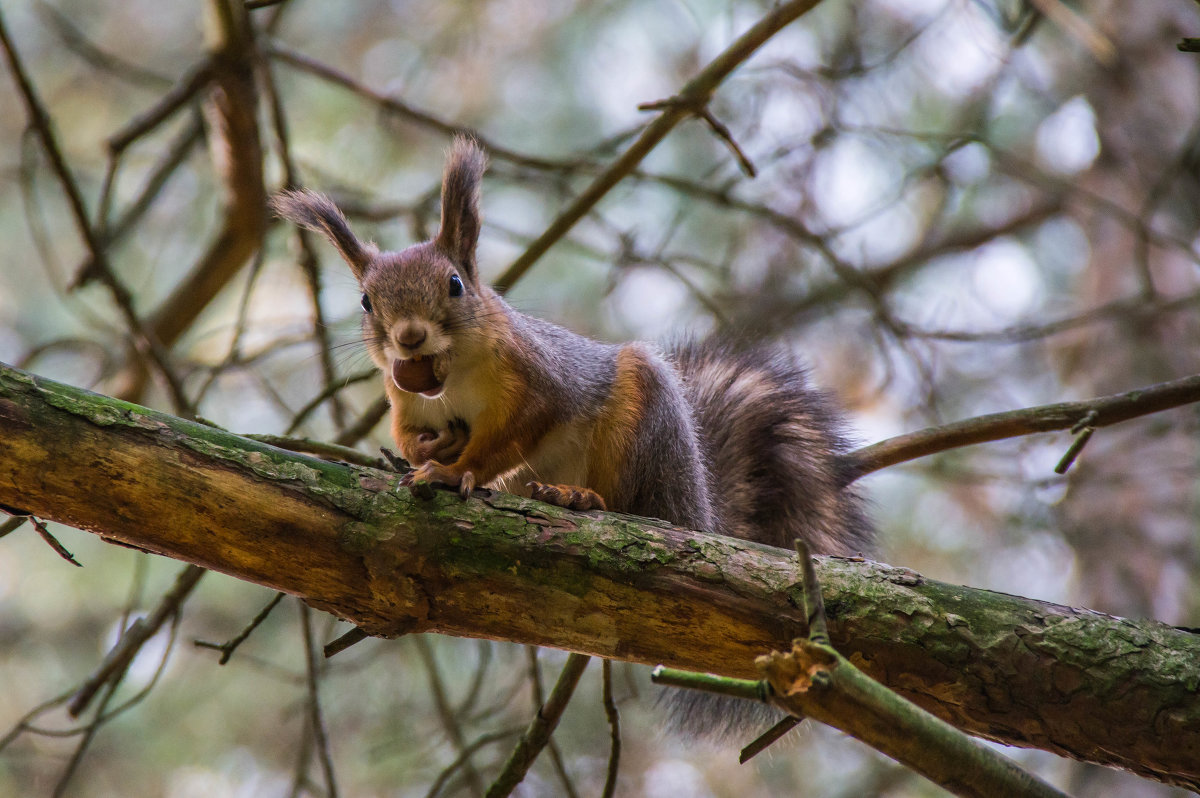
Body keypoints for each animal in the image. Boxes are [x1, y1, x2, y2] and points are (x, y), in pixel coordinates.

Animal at [272, 133, 873, 739]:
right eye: (366, 301)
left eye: (455, 284)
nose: (410, 336)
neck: (452, 378)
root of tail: (696, 508)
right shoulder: (404, 400)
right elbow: (407, 432)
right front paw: (426, 450)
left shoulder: (538, 381)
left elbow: (514, 434)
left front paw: (453, 471)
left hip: (640, 430)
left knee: (626, 504)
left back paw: (577, 498)